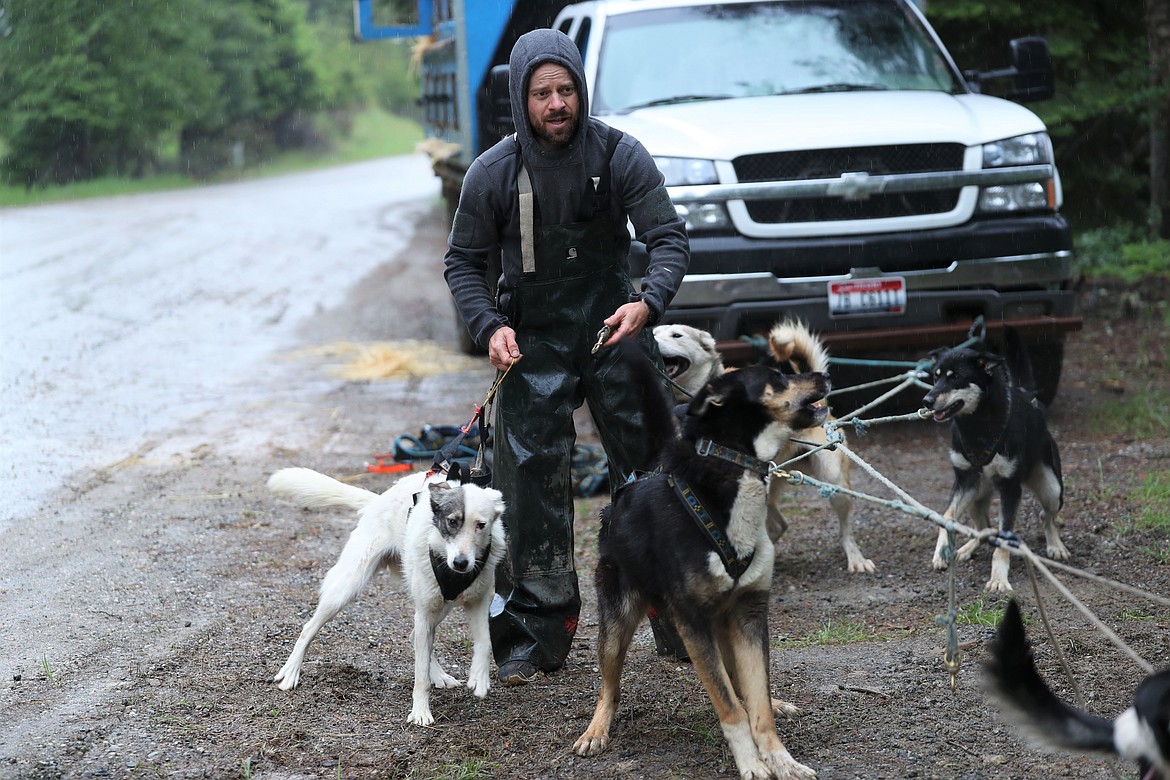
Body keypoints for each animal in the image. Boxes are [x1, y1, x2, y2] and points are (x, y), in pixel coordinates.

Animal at [269, 467, 507, 729]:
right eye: (452, 522)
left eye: (481, 525)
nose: (461, 563)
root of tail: (378, 500)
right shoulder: (426, 609)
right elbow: (420, 674)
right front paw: (420, 711)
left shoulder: (478, 602)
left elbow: (485, 641)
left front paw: (479, 677)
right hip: (348, 587)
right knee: (308, 628)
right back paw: (291, 671)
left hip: (440, 604)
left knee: (416, 636)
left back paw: (439, 675)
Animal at [573, 343, 828, 780]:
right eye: (777, 377)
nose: (824, 375)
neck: (731, 469)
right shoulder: (691, 621)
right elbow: (730, 707)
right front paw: (751, 763)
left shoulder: (749, 613)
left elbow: (757, 703)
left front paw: (780, 758)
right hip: (617, 618)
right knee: (610, 686)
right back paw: (596, 730)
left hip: (723, 623)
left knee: (744, 685)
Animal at [917, 327, 1071, 591]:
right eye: (936, 377)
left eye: (955, 377)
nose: (927, 401)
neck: (977, 426)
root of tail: (1028, 395)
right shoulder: (964, 481)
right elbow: (947, 517)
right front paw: (942, 550)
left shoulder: (1010, 489)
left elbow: (1003, 538)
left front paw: (998, 578)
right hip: (976, 495)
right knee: (984, 529)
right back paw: (966, 548)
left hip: (1051, 488)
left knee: (1045, 516)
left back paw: (1055, 545)